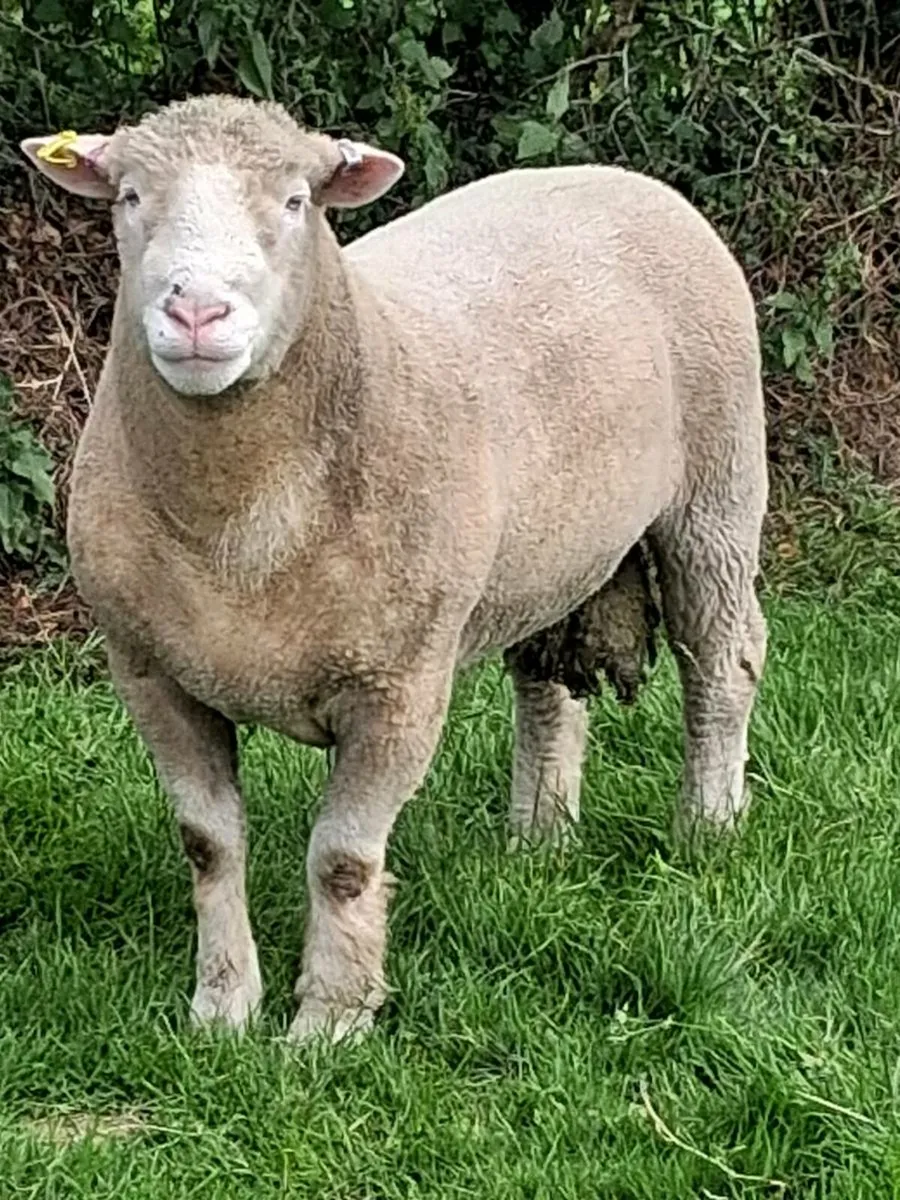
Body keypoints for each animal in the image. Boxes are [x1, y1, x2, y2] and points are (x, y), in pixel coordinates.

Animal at [21, 96, 767, 1042]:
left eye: (297, 200)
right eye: (128, 197)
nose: (198, 314)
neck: (240, 535)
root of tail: (608, 173)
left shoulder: (400, 685)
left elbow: (342, 860)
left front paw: (329, 1022)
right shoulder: (150, 671)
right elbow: (208, 845)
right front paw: (223, 1010)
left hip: (718, 492)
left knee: (724, 662)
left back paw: (708, 827)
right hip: (540, 552)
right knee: (547, 689)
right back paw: (537, 838)